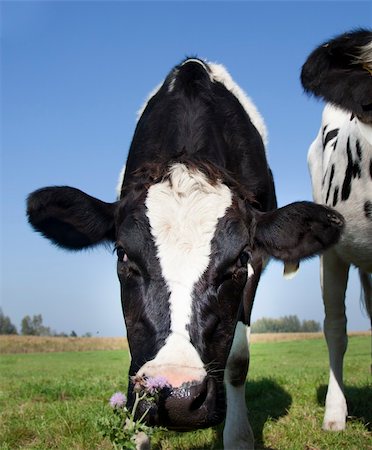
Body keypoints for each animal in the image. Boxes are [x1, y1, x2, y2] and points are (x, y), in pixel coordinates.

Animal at [27, 58, 344, 448]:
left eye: (240, 259)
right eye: (123, 255)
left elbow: (238, 360)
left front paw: (239, 437)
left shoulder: (256, 263)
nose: (175, 394)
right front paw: (138, 434)